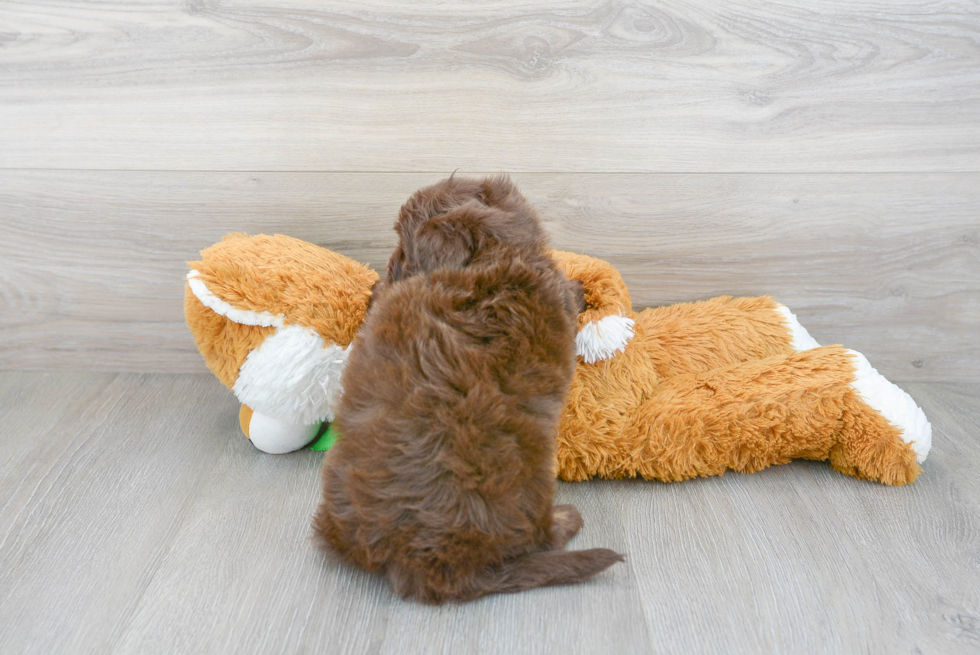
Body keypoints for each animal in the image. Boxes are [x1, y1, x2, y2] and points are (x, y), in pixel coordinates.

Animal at [312, 176, 620, 604]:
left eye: (403, 247)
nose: (385, 272)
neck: (491, 261)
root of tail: (438, 567)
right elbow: (565, 293)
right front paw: (578, 289)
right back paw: (566, 519)